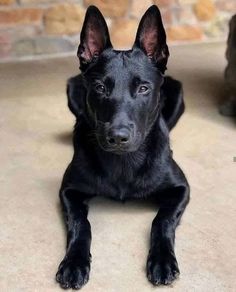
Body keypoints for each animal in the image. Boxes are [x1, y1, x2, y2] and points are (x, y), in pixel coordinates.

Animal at [56, 4, 191, 290]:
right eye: (99, 87)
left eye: (143, 89)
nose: (118, 137)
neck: (123, 163)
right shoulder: (68, 191)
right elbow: (81, 223)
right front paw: (74, 263)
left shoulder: (181, 188)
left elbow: (162, 220)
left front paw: (162, 260)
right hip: (73, 88)